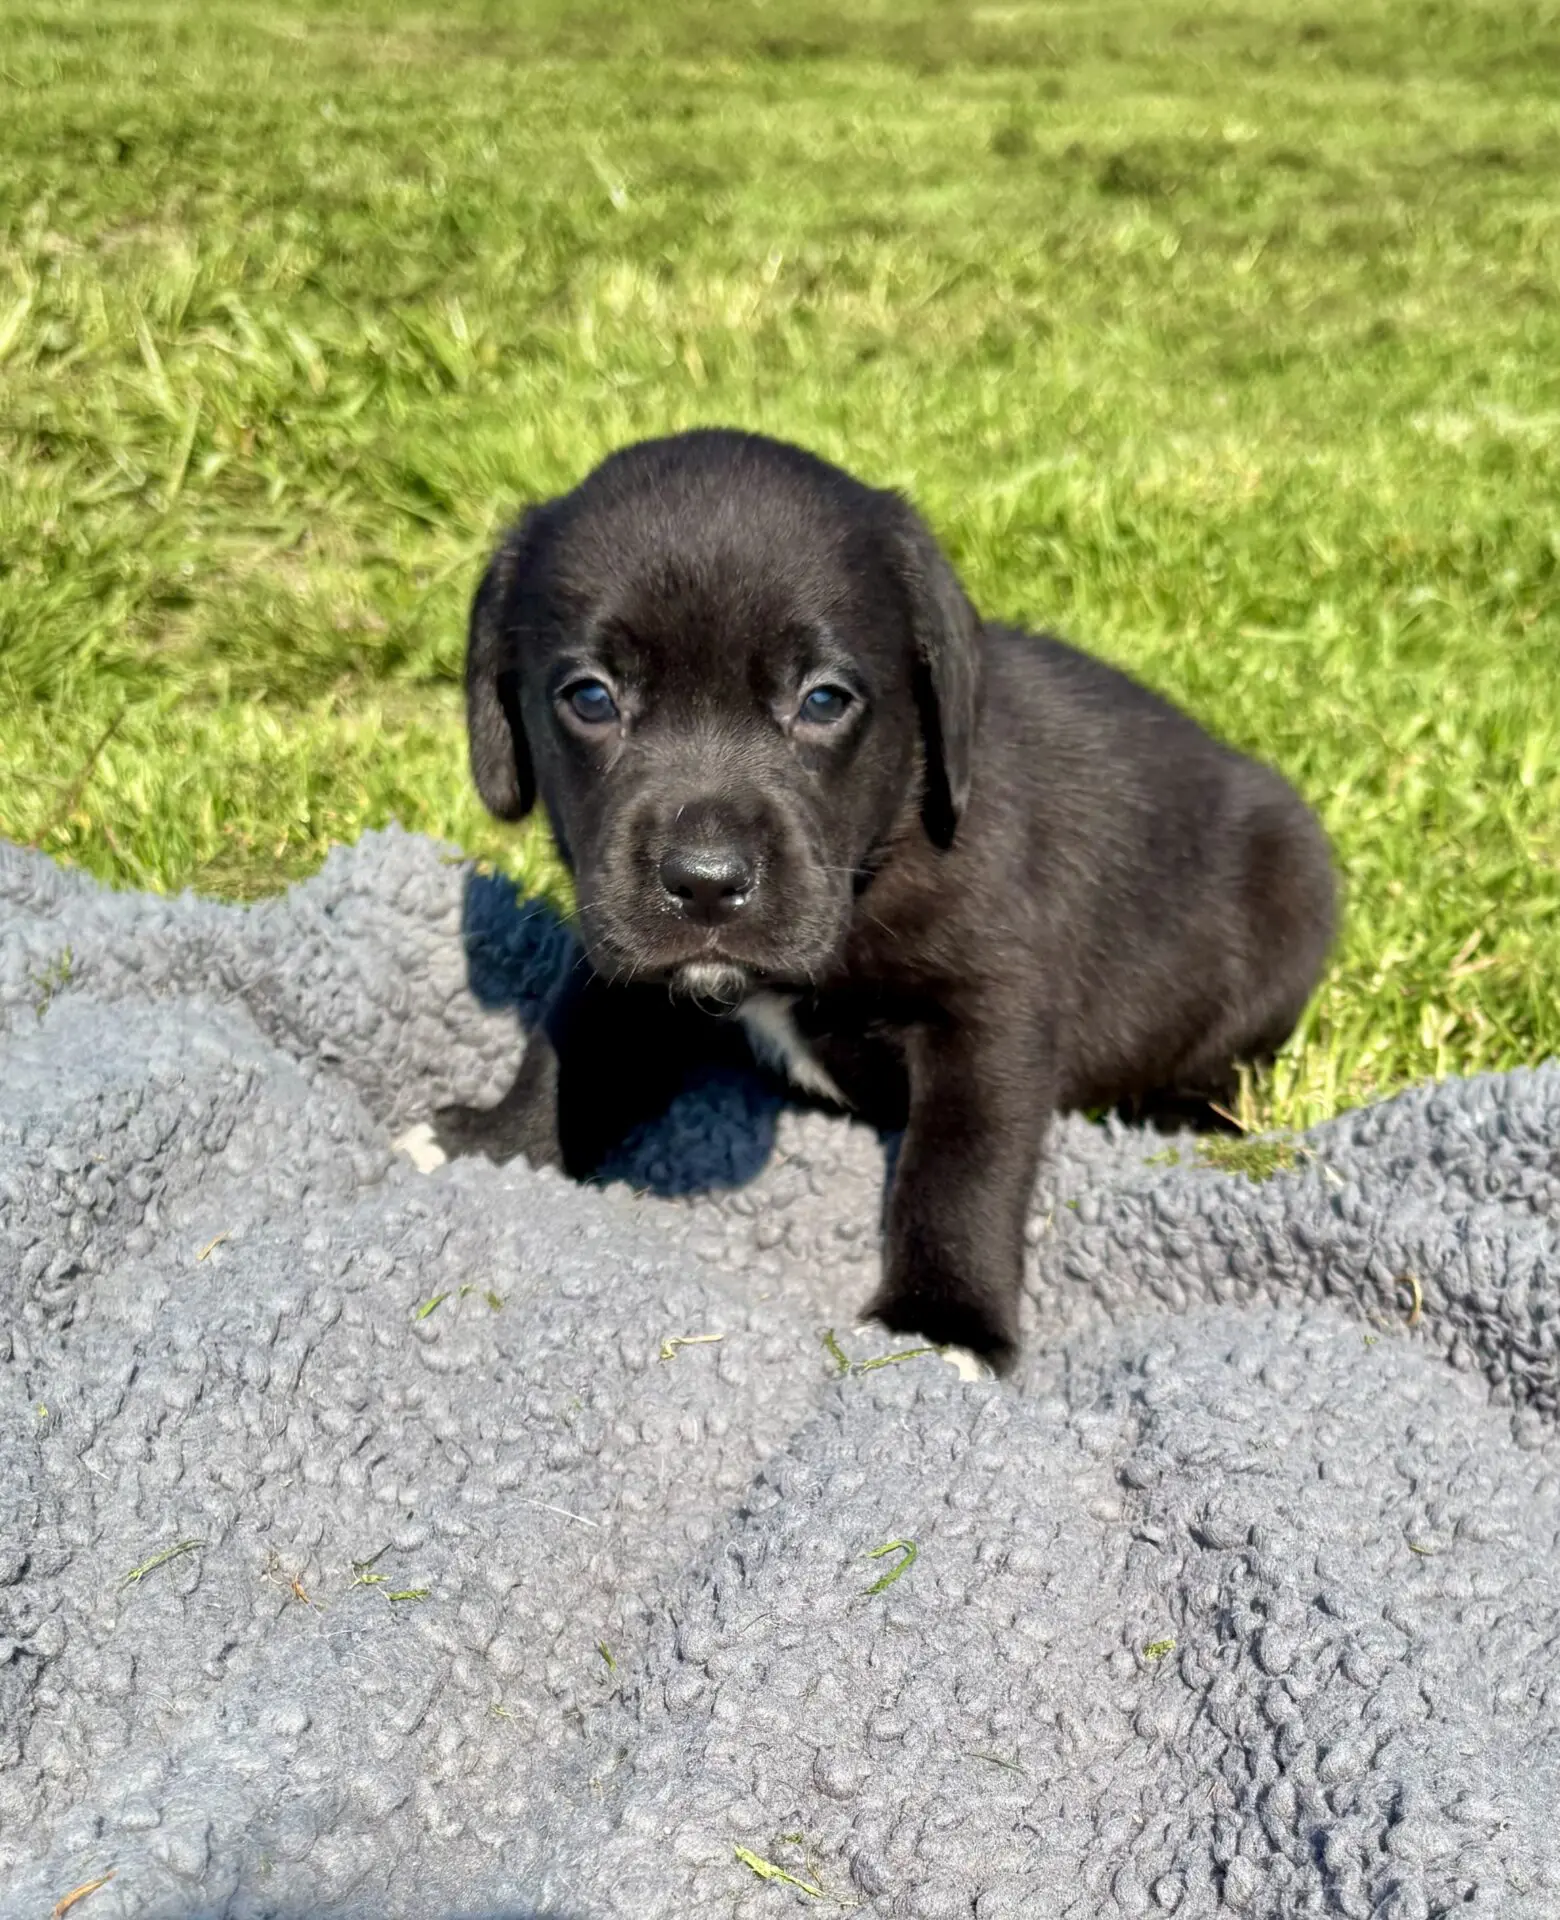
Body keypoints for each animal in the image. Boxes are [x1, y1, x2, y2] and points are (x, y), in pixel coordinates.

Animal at [434, 429, 1337, 1371]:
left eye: (824, 700)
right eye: (590, 697)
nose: (707, 881)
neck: (876, 855)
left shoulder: (990, 1012)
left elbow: (961, 1165)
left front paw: (942, 1323)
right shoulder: (620, 953)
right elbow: (568, 1044)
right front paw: (497, 1144)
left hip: (1290, 904)